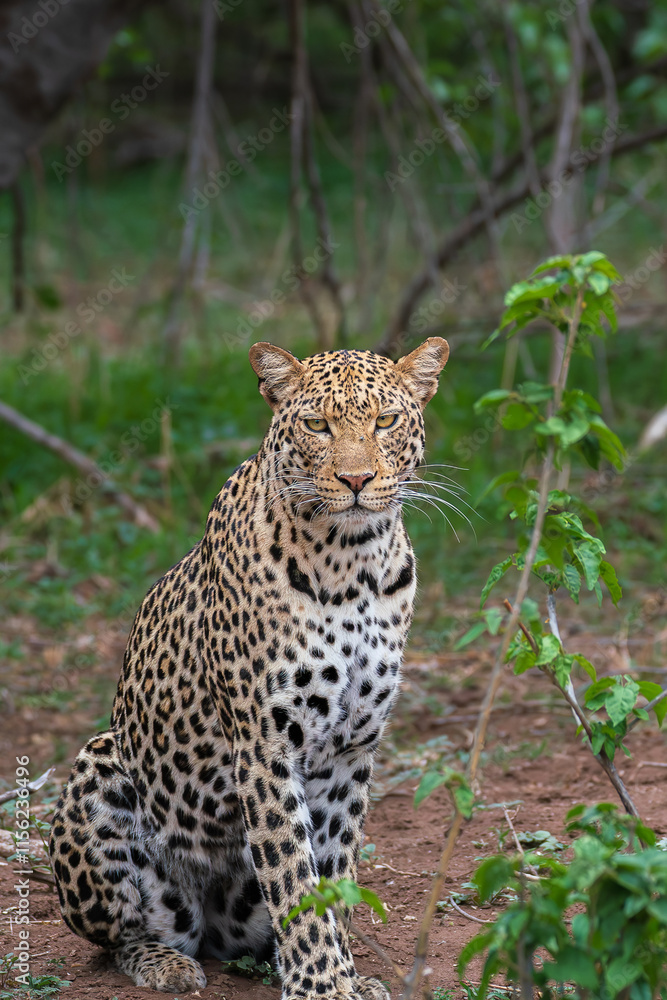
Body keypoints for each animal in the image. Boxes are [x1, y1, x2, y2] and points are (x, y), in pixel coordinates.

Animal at [49, 336, 450, 998]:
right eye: (317, 426)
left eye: (386, 421)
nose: (357, 479)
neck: (356, 563)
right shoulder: (265, 745)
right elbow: (293, 874)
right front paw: (321, 984)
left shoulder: (352, 751)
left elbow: (332, 875)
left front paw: (345, 974)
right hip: (100, 764)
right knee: (121, 936)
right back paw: (166, 964)